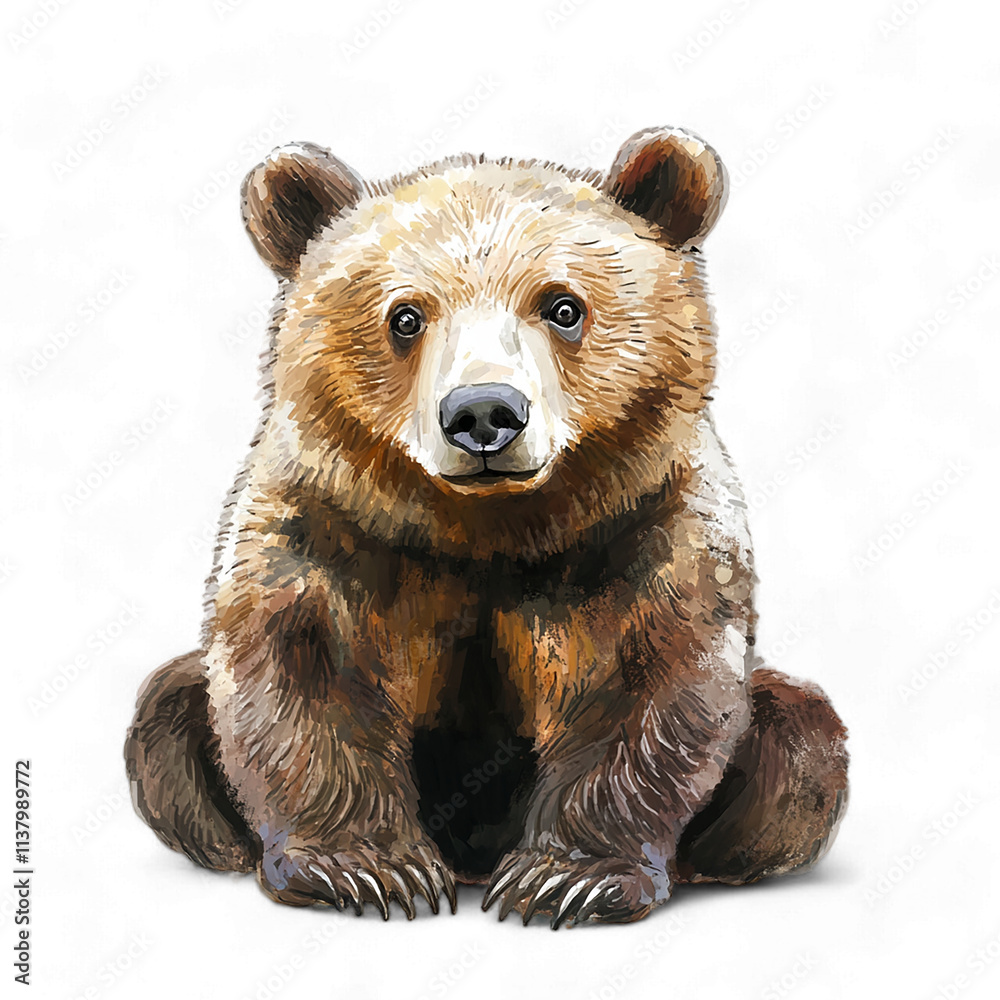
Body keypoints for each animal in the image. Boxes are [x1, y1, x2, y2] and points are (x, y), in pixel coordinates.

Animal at [125, 126, 849, 928]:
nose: (482, 413)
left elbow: (650, 686)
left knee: (803, 740)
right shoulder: (326, 527)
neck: (484, 530)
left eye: (563, 306)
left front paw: (568, 879)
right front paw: (369, 870)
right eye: (405, 316)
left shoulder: (647, 528)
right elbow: (301, 672)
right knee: (165, 718)